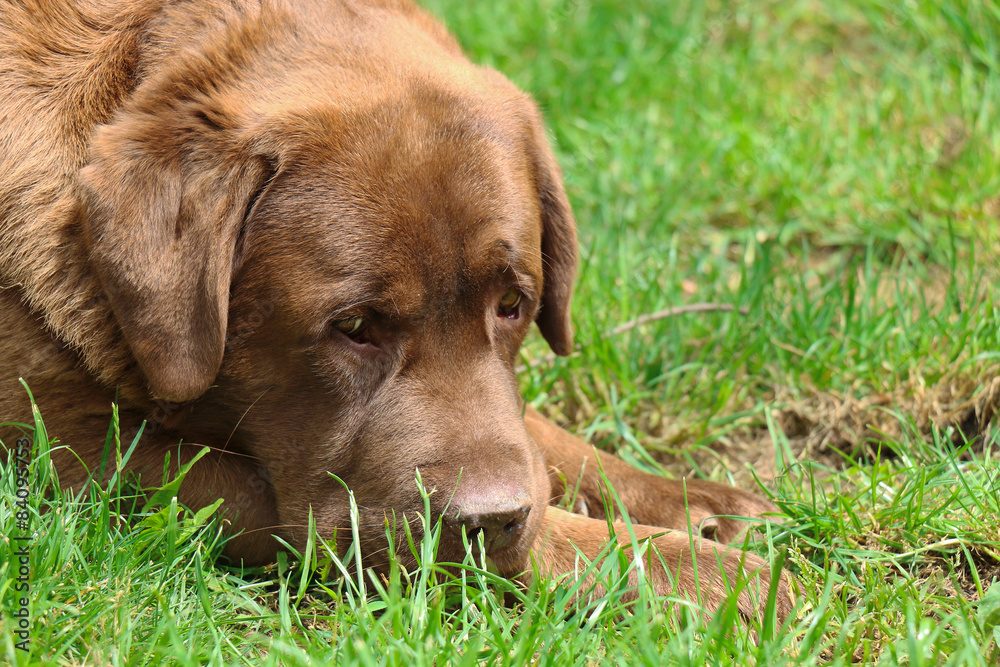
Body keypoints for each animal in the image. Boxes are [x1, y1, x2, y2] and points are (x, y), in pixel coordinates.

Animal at [1, 0, 788, 620]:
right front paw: (717, 578)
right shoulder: (82, 450)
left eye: (513, 305)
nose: (494, 517)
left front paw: (695, 502)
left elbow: (537, 436)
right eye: (353, 328)